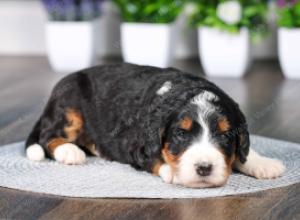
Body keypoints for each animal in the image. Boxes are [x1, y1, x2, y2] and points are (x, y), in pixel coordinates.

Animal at [24, 63, 284, 187]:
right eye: (181, 134)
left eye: (225, 135)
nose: (204, 168)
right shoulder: (136, 144)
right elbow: (155, 157)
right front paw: (174, 171)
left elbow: (244, 151)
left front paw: (263, 164)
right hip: (69, 106)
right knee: (47, 136)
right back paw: (69, 151)